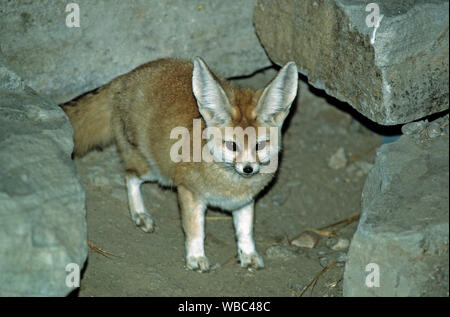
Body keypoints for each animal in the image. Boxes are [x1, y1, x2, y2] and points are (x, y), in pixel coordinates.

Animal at [61, 57, 298, 272]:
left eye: (260, 145)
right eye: (232, 145)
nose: (248, 169)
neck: (230, 183)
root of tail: (126, 76)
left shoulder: (244, 202)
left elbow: (246, 231)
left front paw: (248, 254)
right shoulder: (188, 192)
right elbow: (195, 230)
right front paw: (196, 257)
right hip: (154, 170)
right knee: (129, 176)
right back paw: (139, 214)